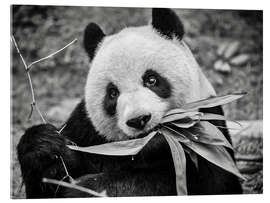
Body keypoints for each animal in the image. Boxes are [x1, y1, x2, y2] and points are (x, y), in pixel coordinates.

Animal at [16, 8, 243, 198]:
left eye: (151, 79)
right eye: (112, 93)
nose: (139, 120)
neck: (145, 148)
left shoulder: (207, 133)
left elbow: (215, 183)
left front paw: (86, 189)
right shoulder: (86, 130)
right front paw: (45, 147)